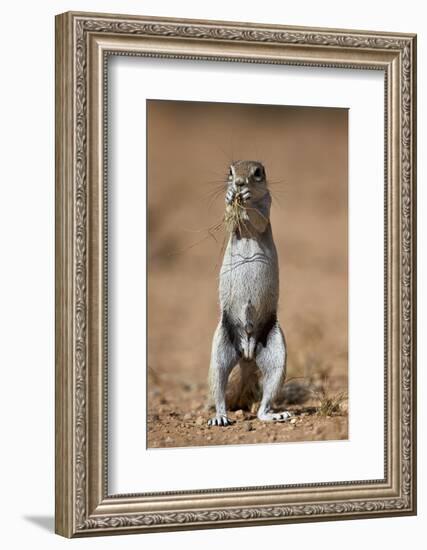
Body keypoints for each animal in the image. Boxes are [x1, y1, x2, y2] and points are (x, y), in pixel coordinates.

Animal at [207, 160, 290, 426]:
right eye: (230, 171)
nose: (239, 183)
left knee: (266, 400)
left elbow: (259, 218)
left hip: (277, 353)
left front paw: (245, 198)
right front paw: (230, 197)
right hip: (220, 349)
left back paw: (274, 415)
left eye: (258, 173)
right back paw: (220, 417)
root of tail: (247, 354)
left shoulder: (267, 207)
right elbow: (230, 217)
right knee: (219, 388)